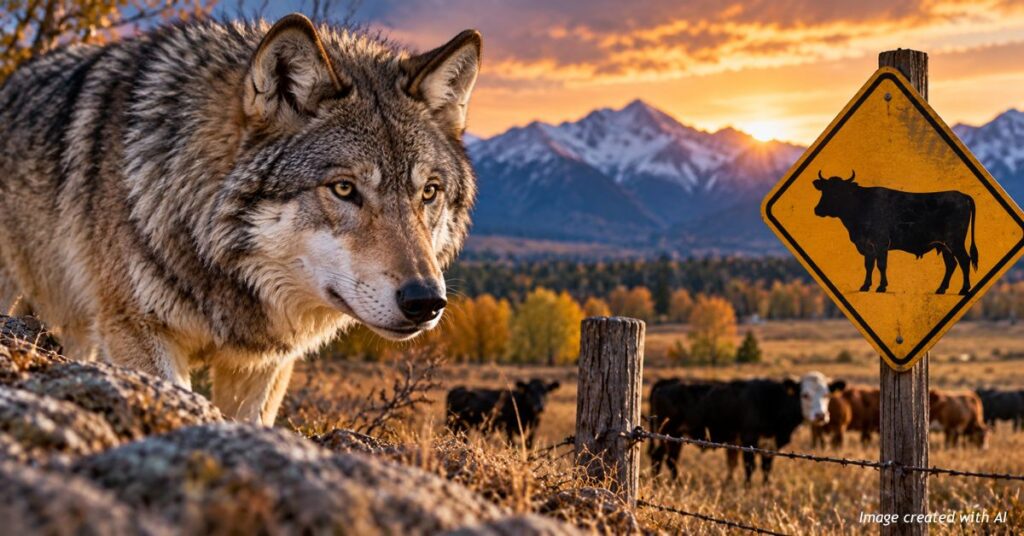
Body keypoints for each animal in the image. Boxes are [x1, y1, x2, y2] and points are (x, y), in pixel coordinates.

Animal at [813, 171, 978, 295]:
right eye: (824, 190)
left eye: (839, 192)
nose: (818, 209)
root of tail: (962, 195)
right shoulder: (867, 246)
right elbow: (868, 265)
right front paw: (865, 286)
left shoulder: (881, 243)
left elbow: (881, 264)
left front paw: (881, 287)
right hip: (944, 246)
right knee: (951, 264)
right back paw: (941, 289)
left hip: (954, 242)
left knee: (964, 260)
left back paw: (964, 289)